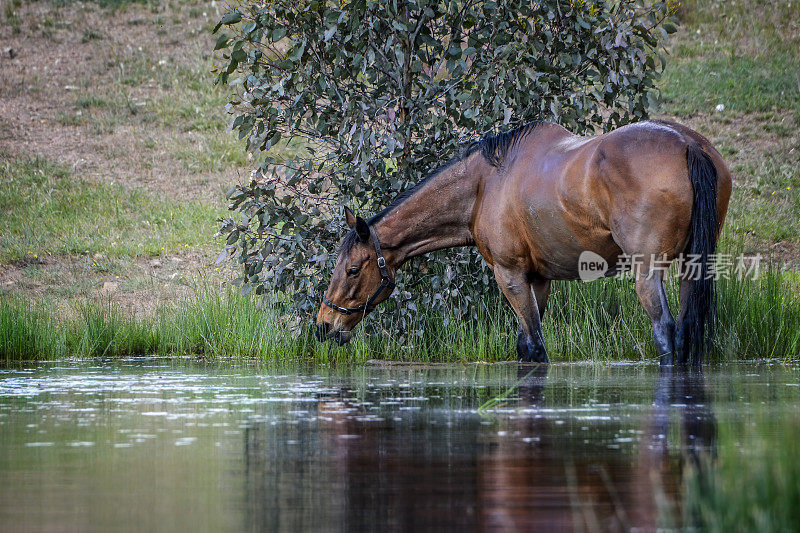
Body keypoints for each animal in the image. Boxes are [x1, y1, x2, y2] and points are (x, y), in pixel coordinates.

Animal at [312, 120, 732, 364]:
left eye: (353, 269)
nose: (324, 325)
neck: (483, 186)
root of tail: (687, 144)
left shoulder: (510, 276)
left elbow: (535, 348)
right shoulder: (538, 279)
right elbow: (525, 348)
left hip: (647, 274)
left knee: (667, 337)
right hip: (691, 270)